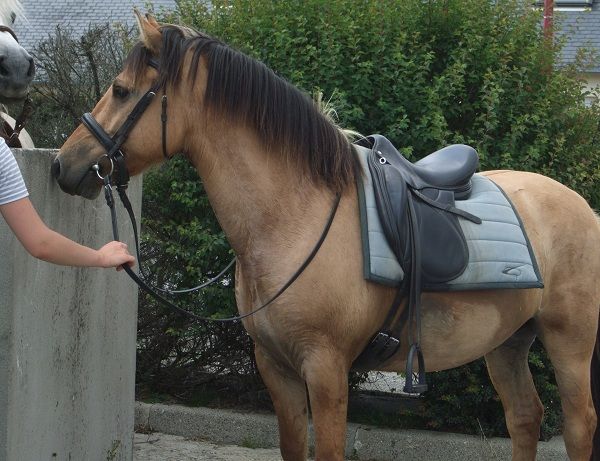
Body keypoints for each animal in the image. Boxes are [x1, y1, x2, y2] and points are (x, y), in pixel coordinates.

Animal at [53, 13, 600, 461]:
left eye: (121, 90)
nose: (63, 166)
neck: (293, 217)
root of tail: (583, 206)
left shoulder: (327, 369)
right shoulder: (277, 370)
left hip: (568, 342)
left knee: (578, 426)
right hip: (508, 341)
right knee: (525, 417)